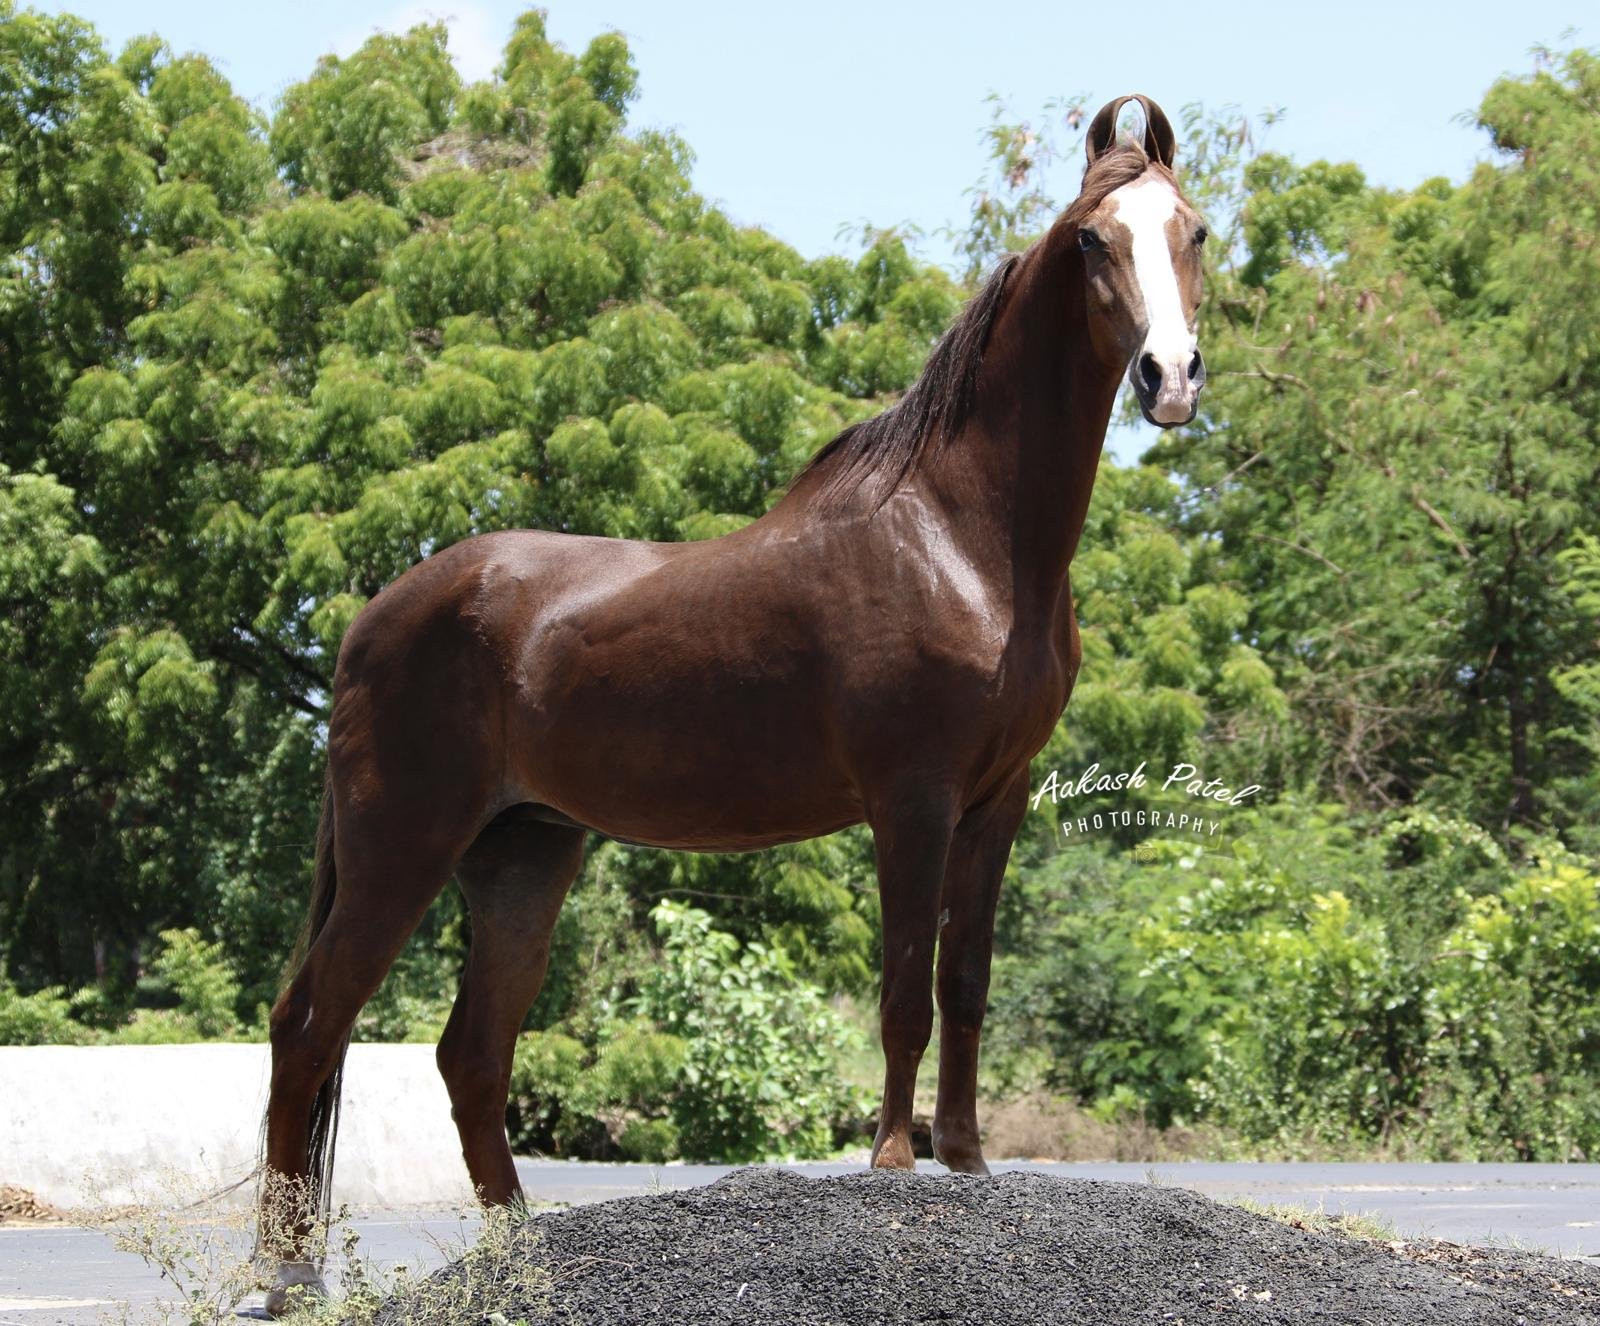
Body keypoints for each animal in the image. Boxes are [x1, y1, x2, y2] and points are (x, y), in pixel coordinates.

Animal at [258, 93, 1207, 1312]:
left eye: (1192, 230)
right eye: (1093, 239)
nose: (1170, 376)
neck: (962, 538)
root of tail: (371, 619)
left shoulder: (997, 801)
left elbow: (965, 981)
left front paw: (968, 1162)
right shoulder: (911, 799)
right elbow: (904, 988)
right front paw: (894, 1166)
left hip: (522, 855)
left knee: (470, 1053)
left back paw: (521, 1253)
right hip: (402, 847)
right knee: (309, 1025)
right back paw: (287, 1275)